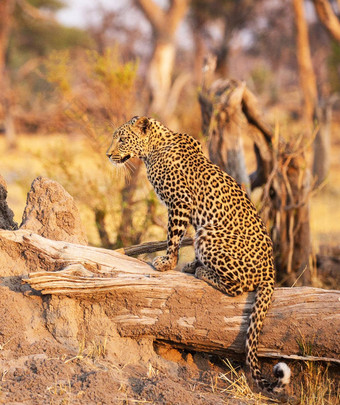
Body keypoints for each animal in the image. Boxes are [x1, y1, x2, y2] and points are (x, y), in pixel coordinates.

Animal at [105, 115, 290, 392]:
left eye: (122, 139)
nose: (108, 154)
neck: (152, 150)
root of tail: (271, 271)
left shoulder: (180, 202)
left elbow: (173, 236)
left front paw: (166, 262)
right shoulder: (189, 211)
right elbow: (182, 236)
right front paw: (184, 263)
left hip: (208, 235)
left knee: (238, 287)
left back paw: (203, 271)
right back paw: (197, 267)